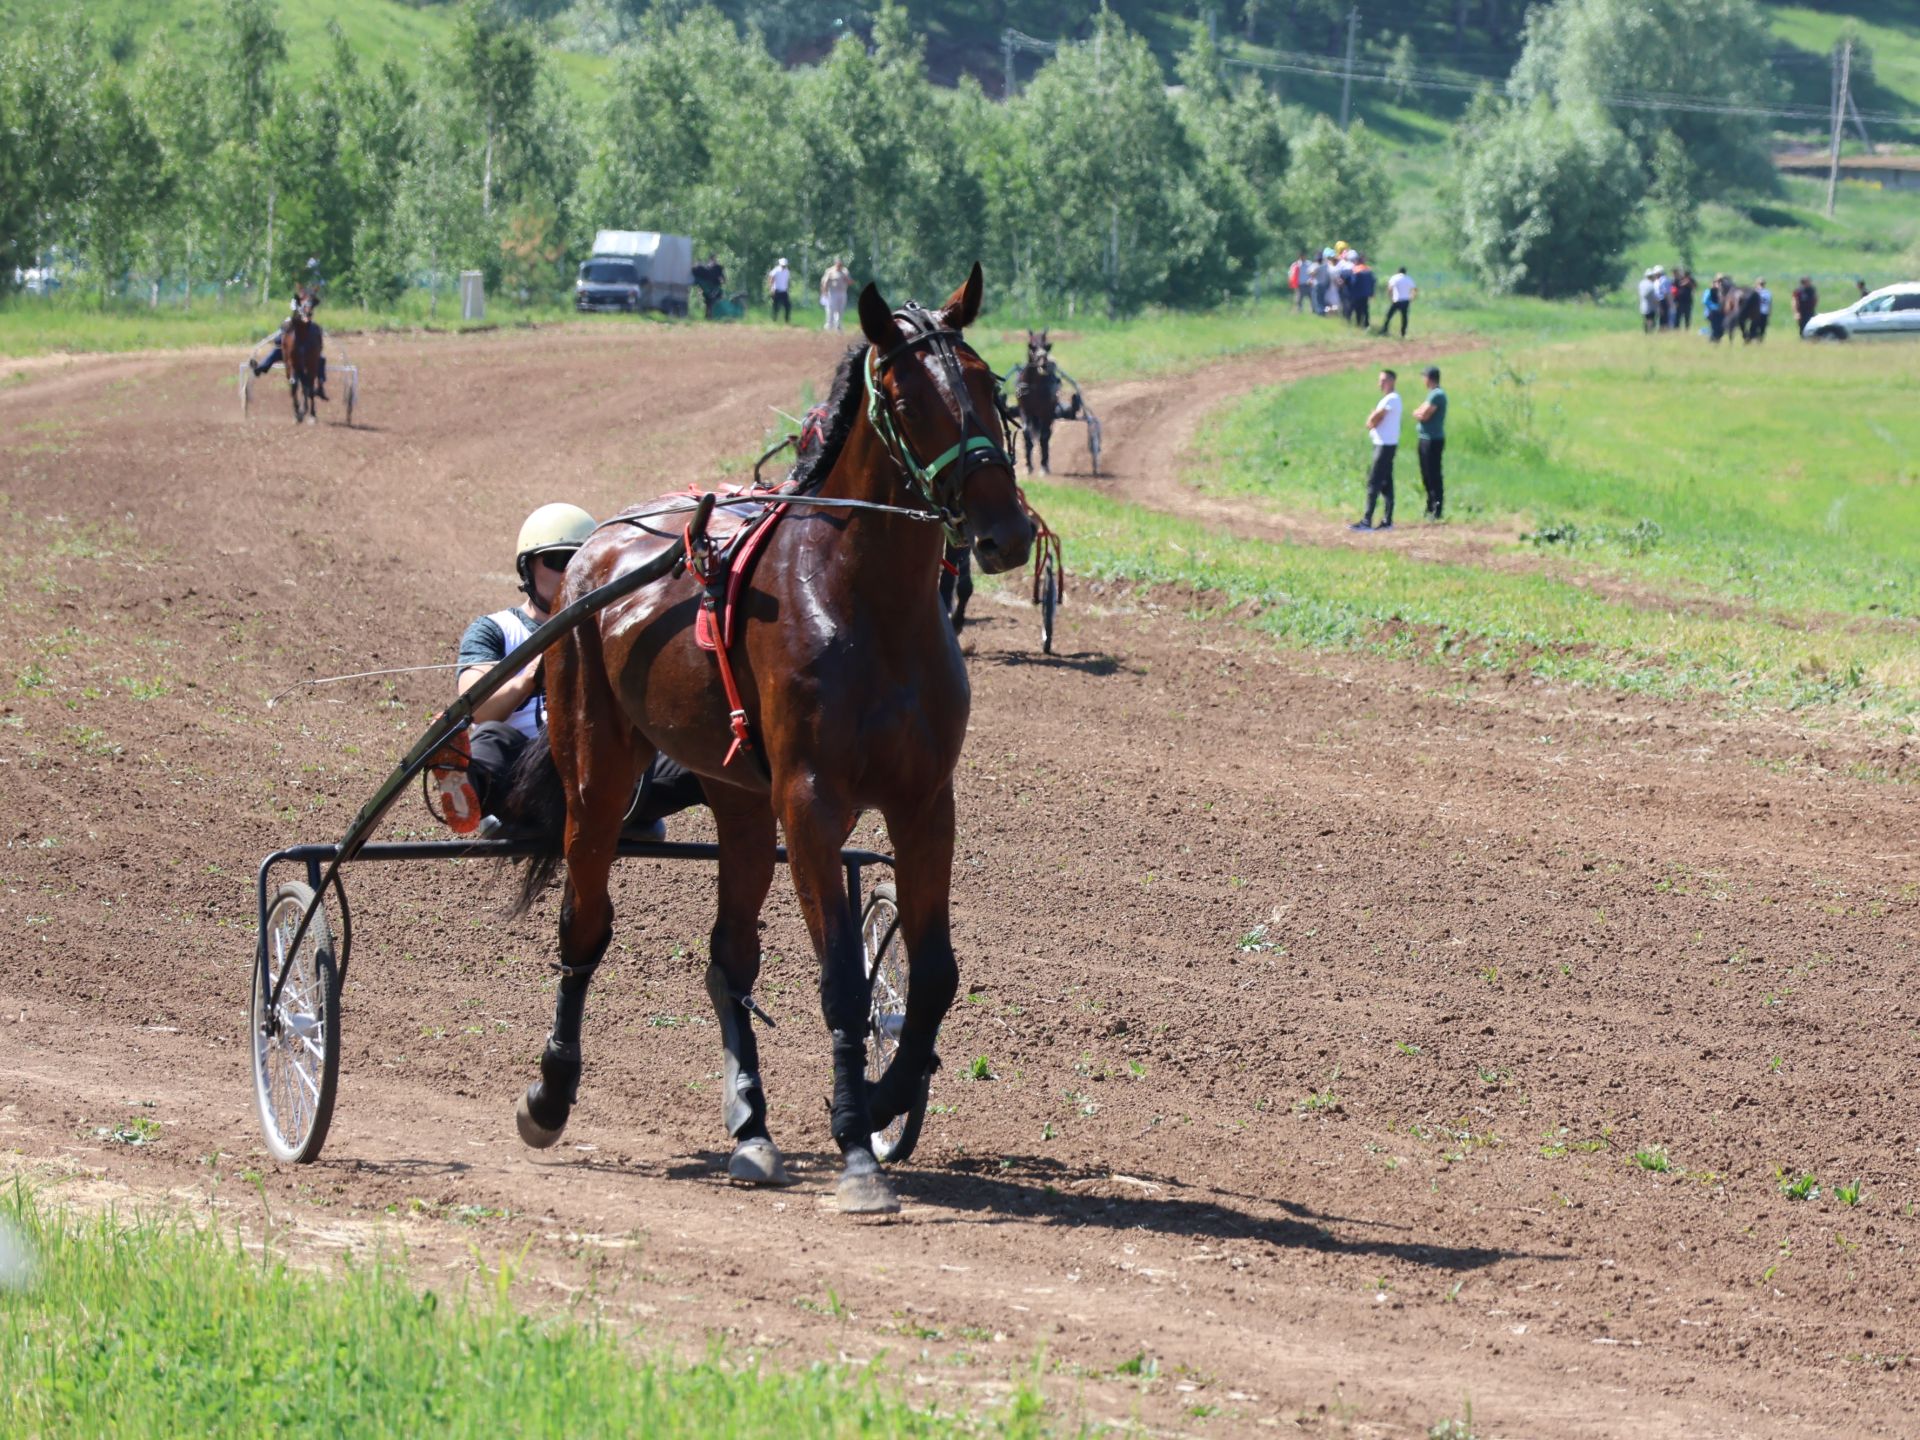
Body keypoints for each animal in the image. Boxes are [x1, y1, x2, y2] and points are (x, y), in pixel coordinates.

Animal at [503, 264, 1029, 1213]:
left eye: (987, 385)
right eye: (907, 397)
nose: (1005, 531)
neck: (868, 605)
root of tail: (597, 549)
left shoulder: (925, 800)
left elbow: (932, 974)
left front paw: (886, 1097)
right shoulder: (810, 801)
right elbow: (842, 979)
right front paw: (857, 1148)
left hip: (740, 798)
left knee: (729, 958)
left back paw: (751, 1127)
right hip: (598, 768)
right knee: (584, 923)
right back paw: (551, 1094)